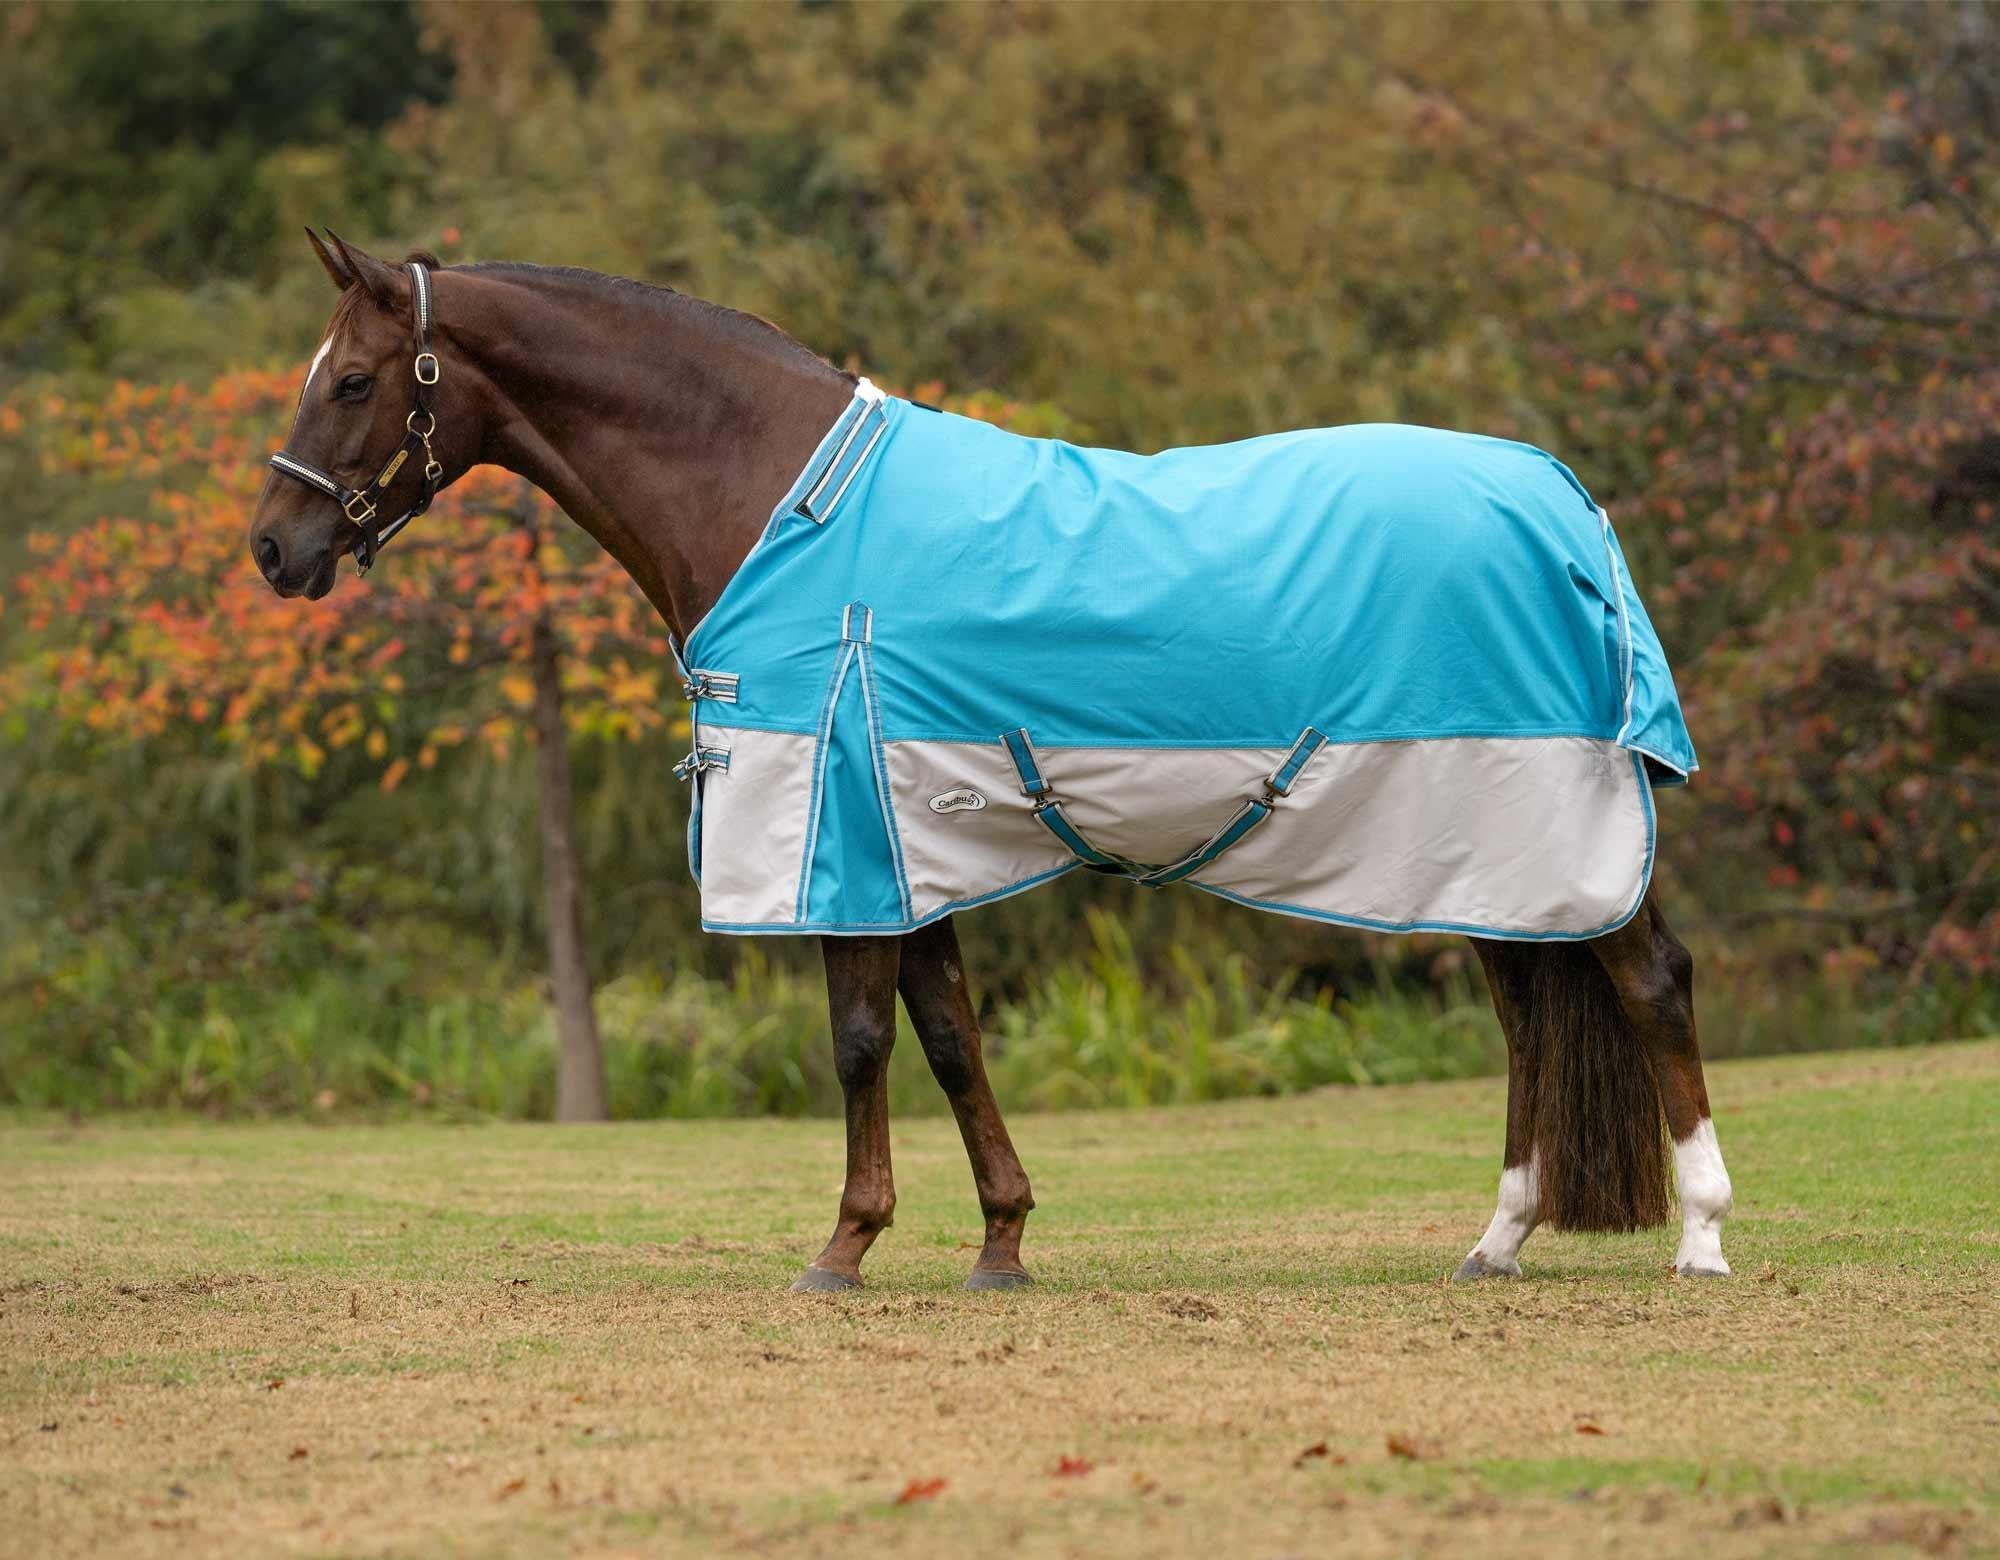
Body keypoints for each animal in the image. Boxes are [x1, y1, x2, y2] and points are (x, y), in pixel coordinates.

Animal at [249, 231, 1733, 1291]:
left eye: (356, 381)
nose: (274, 548)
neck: (777, 499)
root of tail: (1562, 498)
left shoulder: (840, 828)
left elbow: (858, 1042)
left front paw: (843, 1248)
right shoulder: (911, 838)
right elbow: (950, 1038)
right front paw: (1001, 1241)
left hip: (1543, 814)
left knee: (1648, 980)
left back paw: (1702, 1236)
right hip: (1482, 834)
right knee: (1530, 1011)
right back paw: (1496, 1243)